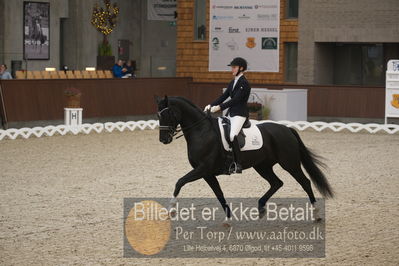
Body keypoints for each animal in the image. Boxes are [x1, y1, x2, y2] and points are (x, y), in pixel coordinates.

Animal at [156, 95, 334, 218]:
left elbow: (180, 182)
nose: (163, 140)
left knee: (305, 182)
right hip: (262, 166)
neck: (201, 131)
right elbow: (219, 193)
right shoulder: (207, 173)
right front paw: (228, 218)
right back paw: (261, 207)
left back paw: (316, 213)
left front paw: (171, 209)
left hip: (289, 163)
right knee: (276, 183)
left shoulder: (203, 169)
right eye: (158, 116)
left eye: (167, 114)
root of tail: (286, 129)